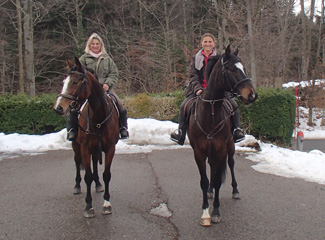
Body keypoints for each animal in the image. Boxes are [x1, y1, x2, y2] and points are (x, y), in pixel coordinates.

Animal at [53, 57, 119, 218]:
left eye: (75, 82)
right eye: (64, 82)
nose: (58, 107)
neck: (99, 116)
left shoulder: (110, 148)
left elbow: (106, 174)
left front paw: (106, 203)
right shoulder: (84, 147)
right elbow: (87, 176)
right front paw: (88, 206)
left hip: (95, 148)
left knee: (94, 161)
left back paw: (98, 184)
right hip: (76, 146)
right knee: (77, 162)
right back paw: (77, 186)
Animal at [187, 45, 256, 227]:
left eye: (243, 68)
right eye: (231, 69)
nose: (252, 95)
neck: (210, 112)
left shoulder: (221, 150)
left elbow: (218, 180)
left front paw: (216, 212)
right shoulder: (199, 152)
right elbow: (204, 181)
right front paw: (205, 213)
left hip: (230, 147)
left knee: (231, 165)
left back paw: (235, 190)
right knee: (212, 168)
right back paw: (210, 192)